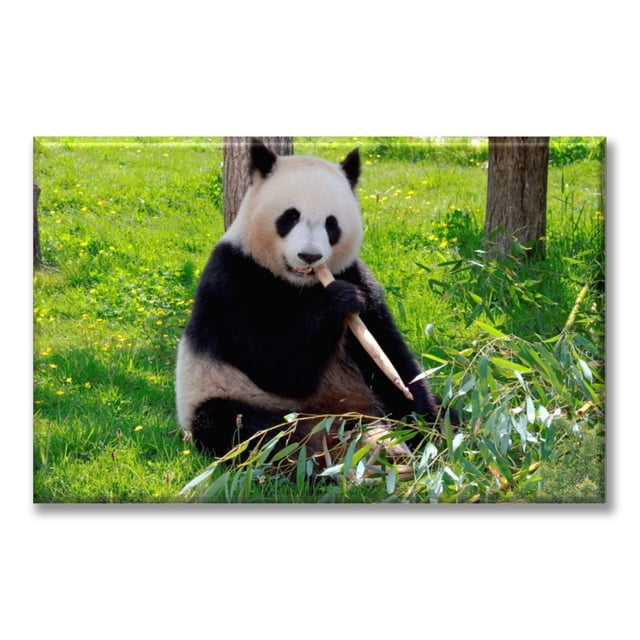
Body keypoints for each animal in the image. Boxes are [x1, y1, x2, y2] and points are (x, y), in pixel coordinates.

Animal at [175, 139, 451, 462]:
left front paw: (427, 430)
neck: (300, 284)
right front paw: (339, 300)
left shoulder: (356, 275)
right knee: (235, 426)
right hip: (229, 395)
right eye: (290, 216)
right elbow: (277, 367)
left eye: (331, 224)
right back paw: (303, 458)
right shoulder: (233, 280)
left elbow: (389, 355)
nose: (310, 256)